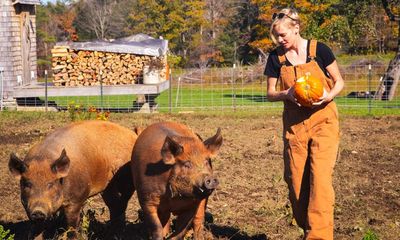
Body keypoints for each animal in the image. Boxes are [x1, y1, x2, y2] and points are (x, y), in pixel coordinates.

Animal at [8, 120, 138, 238]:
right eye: (27, 184)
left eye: (50, 184)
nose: (38, 211)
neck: (42, 159)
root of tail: (133, 134)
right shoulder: (27, 206)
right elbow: (36, 229)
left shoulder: (76, 199)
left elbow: (72, 226)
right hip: (108, 187)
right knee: (113, 205)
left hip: (126, 180)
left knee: (121, 204)